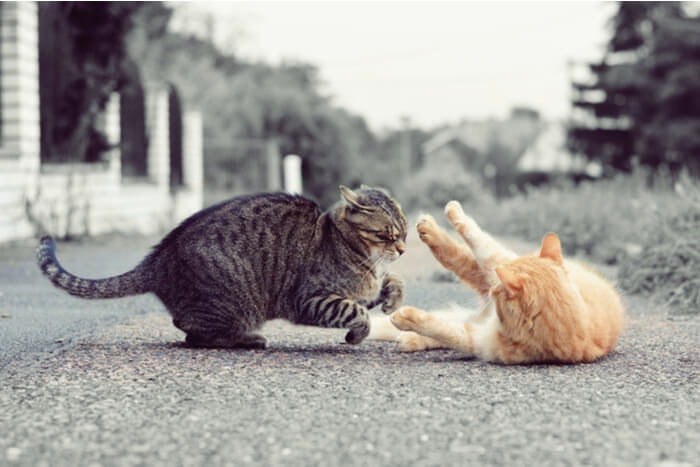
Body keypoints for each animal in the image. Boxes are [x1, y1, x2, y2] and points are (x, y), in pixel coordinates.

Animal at [38, 185, 408, 350]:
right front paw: (357, 335)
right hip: (234, 303)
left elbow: (391, 283)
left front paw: (393, 299)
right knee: (190, 330)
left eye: (404, 232)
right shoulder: (311, 299)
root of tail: (158, 257)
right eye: (386, 234)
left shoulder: (367, 286)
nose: (404, 249)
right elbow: (356, 313)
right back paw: (249, 339)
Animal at [370, 201, 628, 366]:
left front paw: (408, 318)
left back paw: (410, 338)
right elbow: (477, 239)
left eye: (500, 292)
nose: (493, 289)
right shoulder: (496, 262)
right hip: (494, 263)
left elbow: (442, 329)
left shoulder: (478, 341)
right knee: (461, 253)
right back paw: (432, 228)